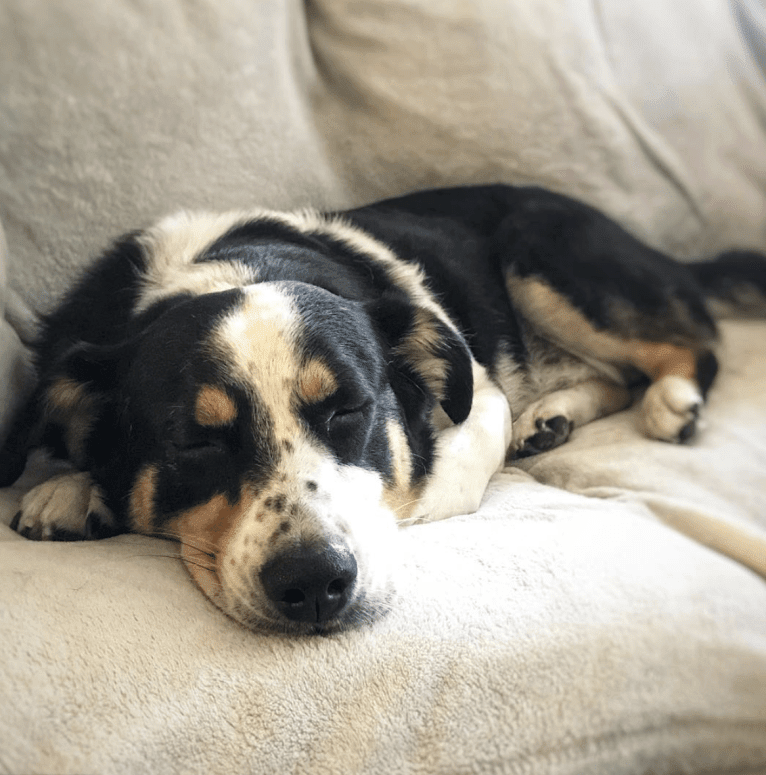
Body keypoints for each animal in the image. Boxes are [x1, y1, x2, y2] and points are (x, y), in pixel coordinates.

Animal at [1, 185, 766, 632]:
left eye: (348, 410)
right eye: (196, 441)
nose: (315, 583)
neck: (229, 265)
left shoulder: (478, 386)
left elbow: (437, 475)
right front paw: (69, 488)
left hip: (536, 249)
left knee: (690, 348)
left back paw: (673, 399)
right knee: (617, 375)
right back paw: (552, 416)